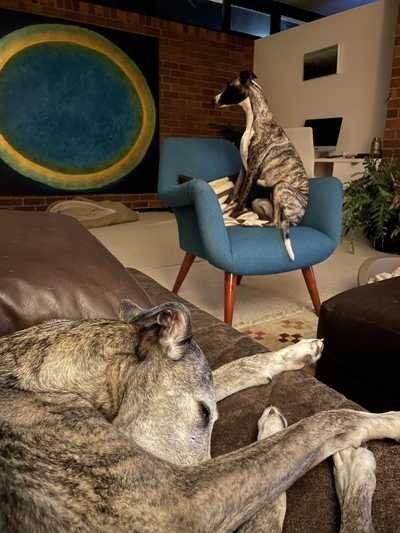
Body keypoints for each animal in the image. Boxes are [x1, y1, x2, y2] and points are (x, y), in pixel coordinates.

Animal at [0, 302, 394, 528]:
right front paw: (391, 419)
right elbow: (318, 425)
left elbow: (242, 366)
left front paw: (298, 351)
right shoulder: (181, 503)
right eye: (202, 413)